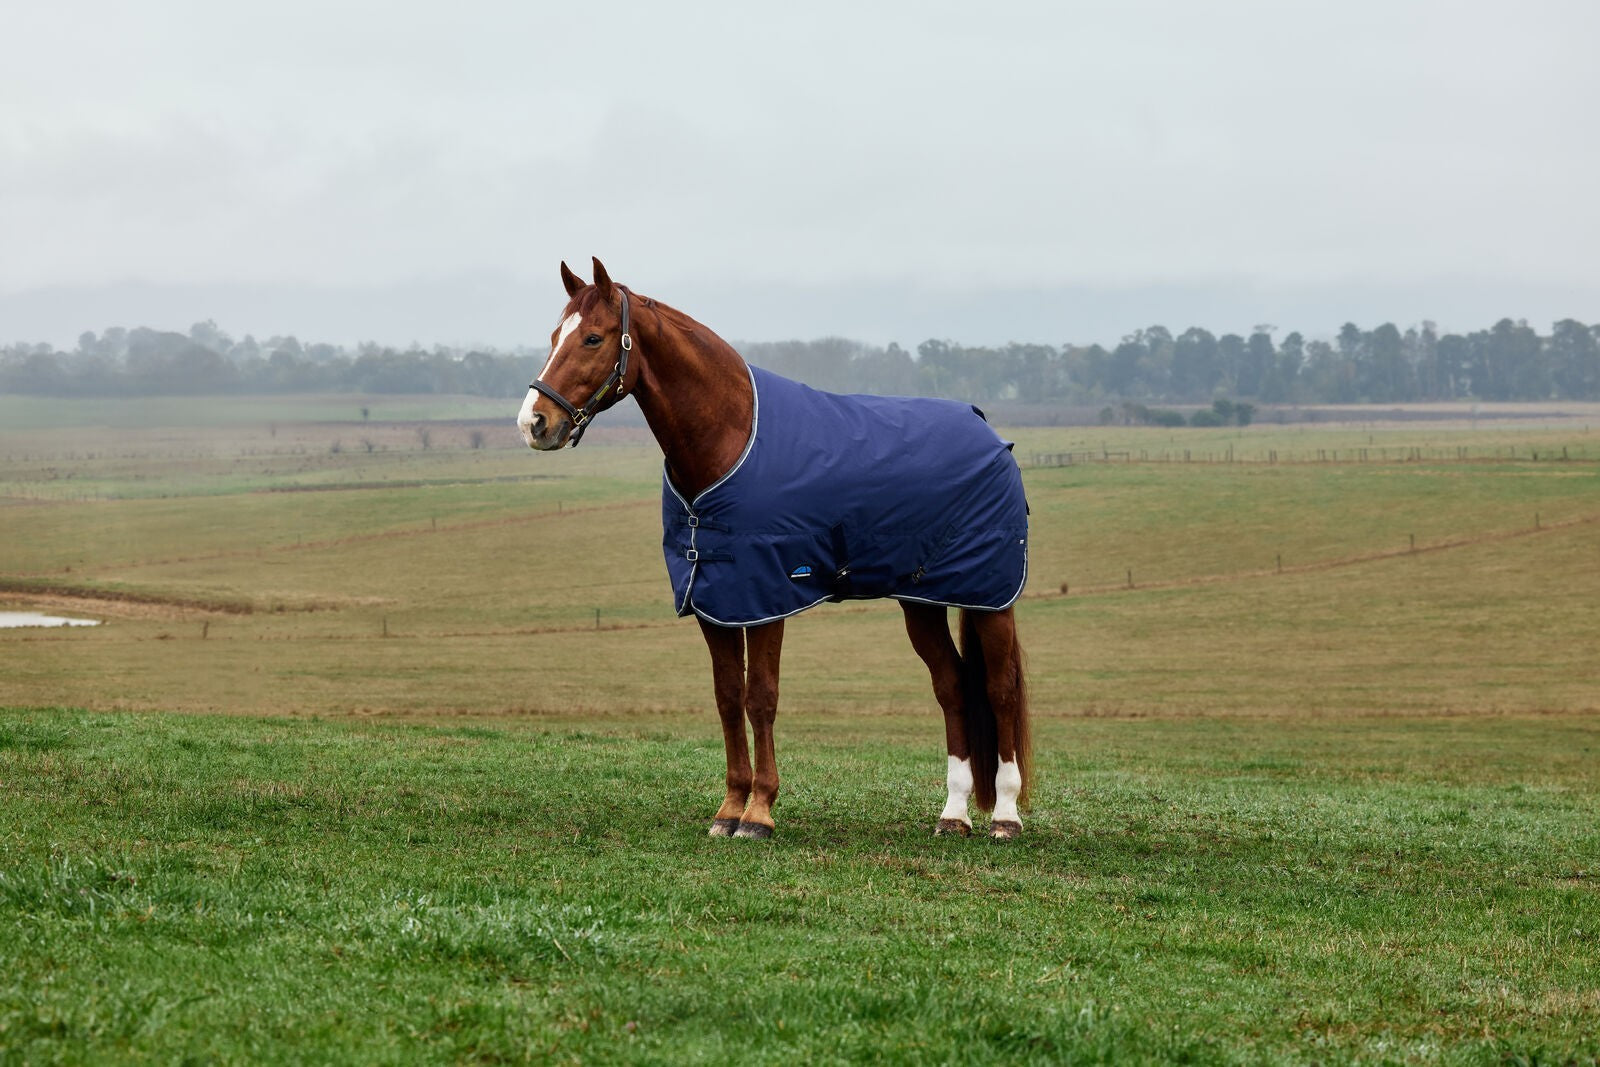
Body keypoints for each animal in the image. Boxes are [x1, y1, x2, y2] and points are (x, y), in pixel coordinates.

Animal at [517, 258, 1033, 840]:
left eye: (593, 337)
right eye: (554, 335)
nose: (533, 423)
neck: (730, 438)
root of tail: (989, 434)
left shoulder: (766, 596)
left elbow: (761, 696)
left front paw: (759, 812)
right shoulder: (713, 598)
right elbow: (727, 696)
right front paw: (728, 808)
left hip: (990, 597)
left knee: (1000, 689)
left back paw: (1006, 816)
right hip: (921, 601)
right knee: (952, 686)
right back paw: (954, 814)